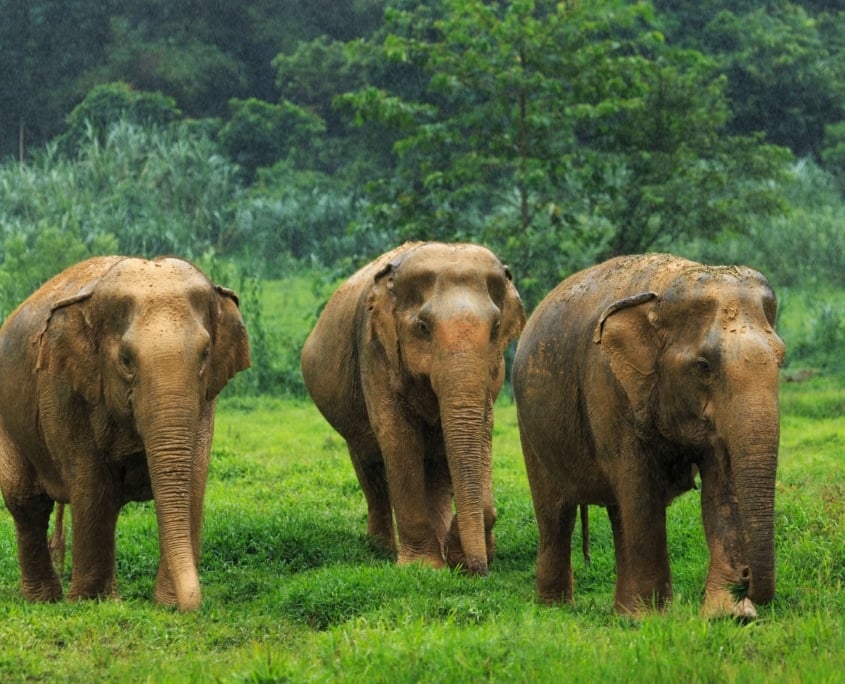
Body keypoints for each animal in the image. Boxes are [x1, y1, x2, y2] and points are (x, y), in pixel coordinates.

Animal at [0, 256, 250, 612]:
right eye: (126, 360)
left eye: (205, 355)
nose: (190, 606)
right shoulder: (63, 391)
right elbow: (92, 485)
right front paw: (92, 603)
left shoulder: (205, 401)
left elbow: (192, 480)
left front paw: (165, 605)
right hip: (9, 420)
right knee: (27, 501)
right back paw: (44, 601)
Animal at [301, 242, 525, 575]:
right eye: (423, 327)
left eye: (496, 327)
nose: (479, 571)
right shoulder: (376, 350)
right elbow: (398, 439)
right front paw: (423, 567)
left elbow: (482, 433)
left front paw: (457, 555)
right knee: (369, 462)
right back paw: (381, 549)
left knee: (436, 464)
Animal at [512, 254, 785, 618]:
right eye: (703, 366)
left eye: (781, 358)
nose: (745, 576)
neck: (667, 289)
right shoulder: (608, 383)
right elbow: (642, 489)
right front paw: (654, 618)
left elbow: (721, 488)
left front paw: (732, 616)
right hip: (529, 424)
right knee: (556, 511)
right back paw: (557, 609)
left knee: (617, 510)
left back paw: (623, 612)